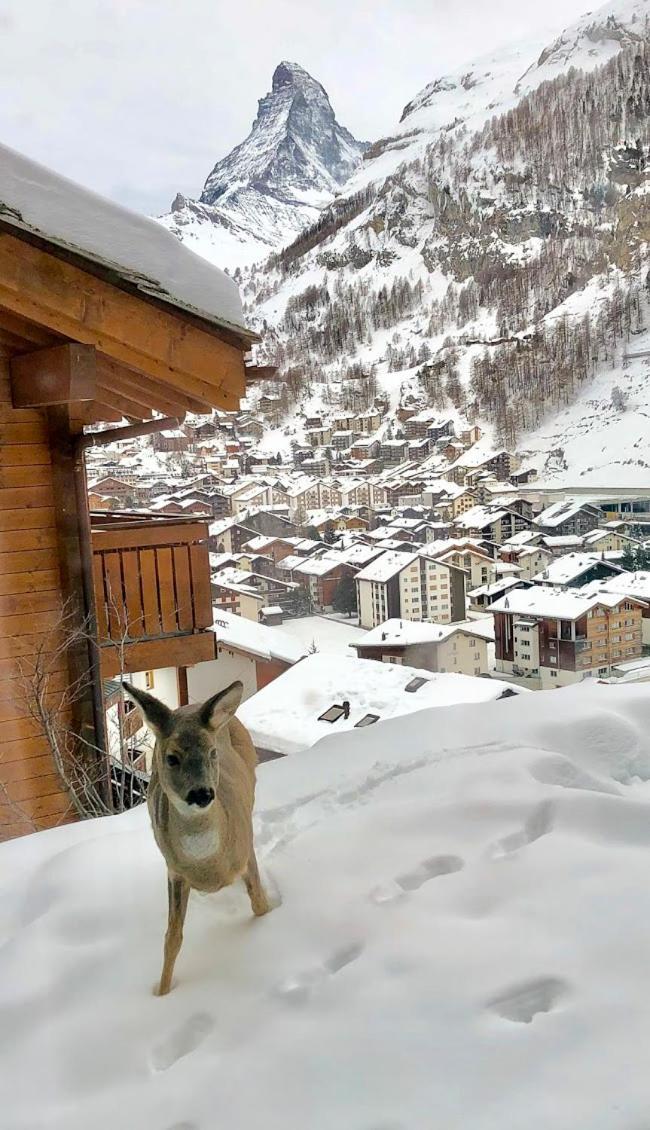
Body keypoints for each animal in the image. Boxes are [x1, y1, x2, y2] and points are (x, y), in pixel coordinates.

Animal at [123, 673, 272, 994]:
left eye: (213, 752)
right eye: (171, 758)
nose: (202, 793)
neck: (208, 865)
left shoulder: (246, 853)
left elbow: (259, 903)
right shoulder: (174, 872)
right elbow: (172, 938)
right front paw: (162, 992)